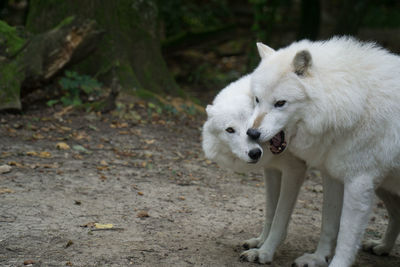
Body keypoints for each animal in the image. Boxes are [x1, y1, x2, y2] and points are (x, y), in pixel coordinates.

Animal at [203, 75, 306, 264]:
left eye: (251, 127)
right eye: (230, 130)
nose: (255, 153)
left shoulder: (295, 170)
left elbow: (280, 217)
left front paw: (265, 252)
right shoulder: (273, 170)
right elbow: (270, 211)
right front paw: (260, 242)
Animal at [247, 37, 400, 267]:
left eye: (280, 103)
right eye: (257, 99)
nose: (252, 133)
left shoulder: (358, 184)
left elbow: (346, 234)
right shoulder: (332, 176)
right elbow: (328, 224)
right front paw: (318, 258)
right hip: (385, 187)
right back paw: (381, 247)